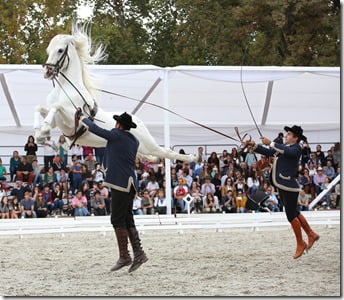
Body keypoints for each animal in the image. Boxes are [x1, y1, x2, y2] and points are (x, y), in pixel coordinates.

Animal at [34, 25, 199, 163]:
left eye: (60, 50)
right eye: (48, 50)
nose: (47, 72)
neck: (66, 89)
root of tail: (138, 121)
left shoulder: (71, 119)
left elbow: (56, 106)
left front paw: (43, 131)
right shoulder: (60, 123)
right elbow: (40, 108)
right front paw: (39, 134)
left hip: (148, 144)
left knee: (164, 152)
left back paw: (193, 158)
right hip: (141, 148)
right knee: (152, 156)